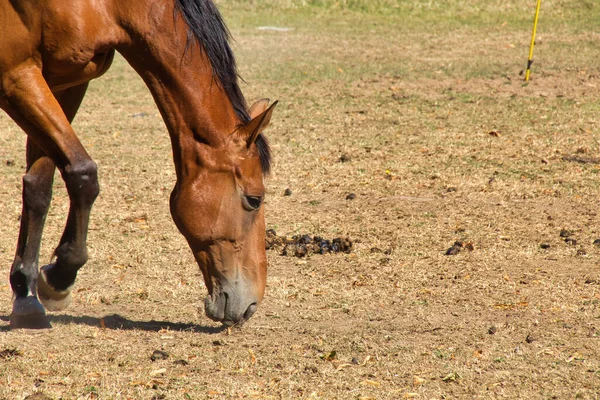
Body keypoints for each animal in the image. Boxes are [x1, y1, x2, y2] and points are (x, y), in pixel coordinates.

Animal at [0, 0, 276, 328]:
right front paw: (59, 277)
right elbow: (83, 173)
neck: (109, 8)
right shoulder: (16, 76)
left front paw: (26, 294)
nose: (251, 306)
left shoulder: (64, 82)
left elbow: (39, 187)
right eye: (254, 199)